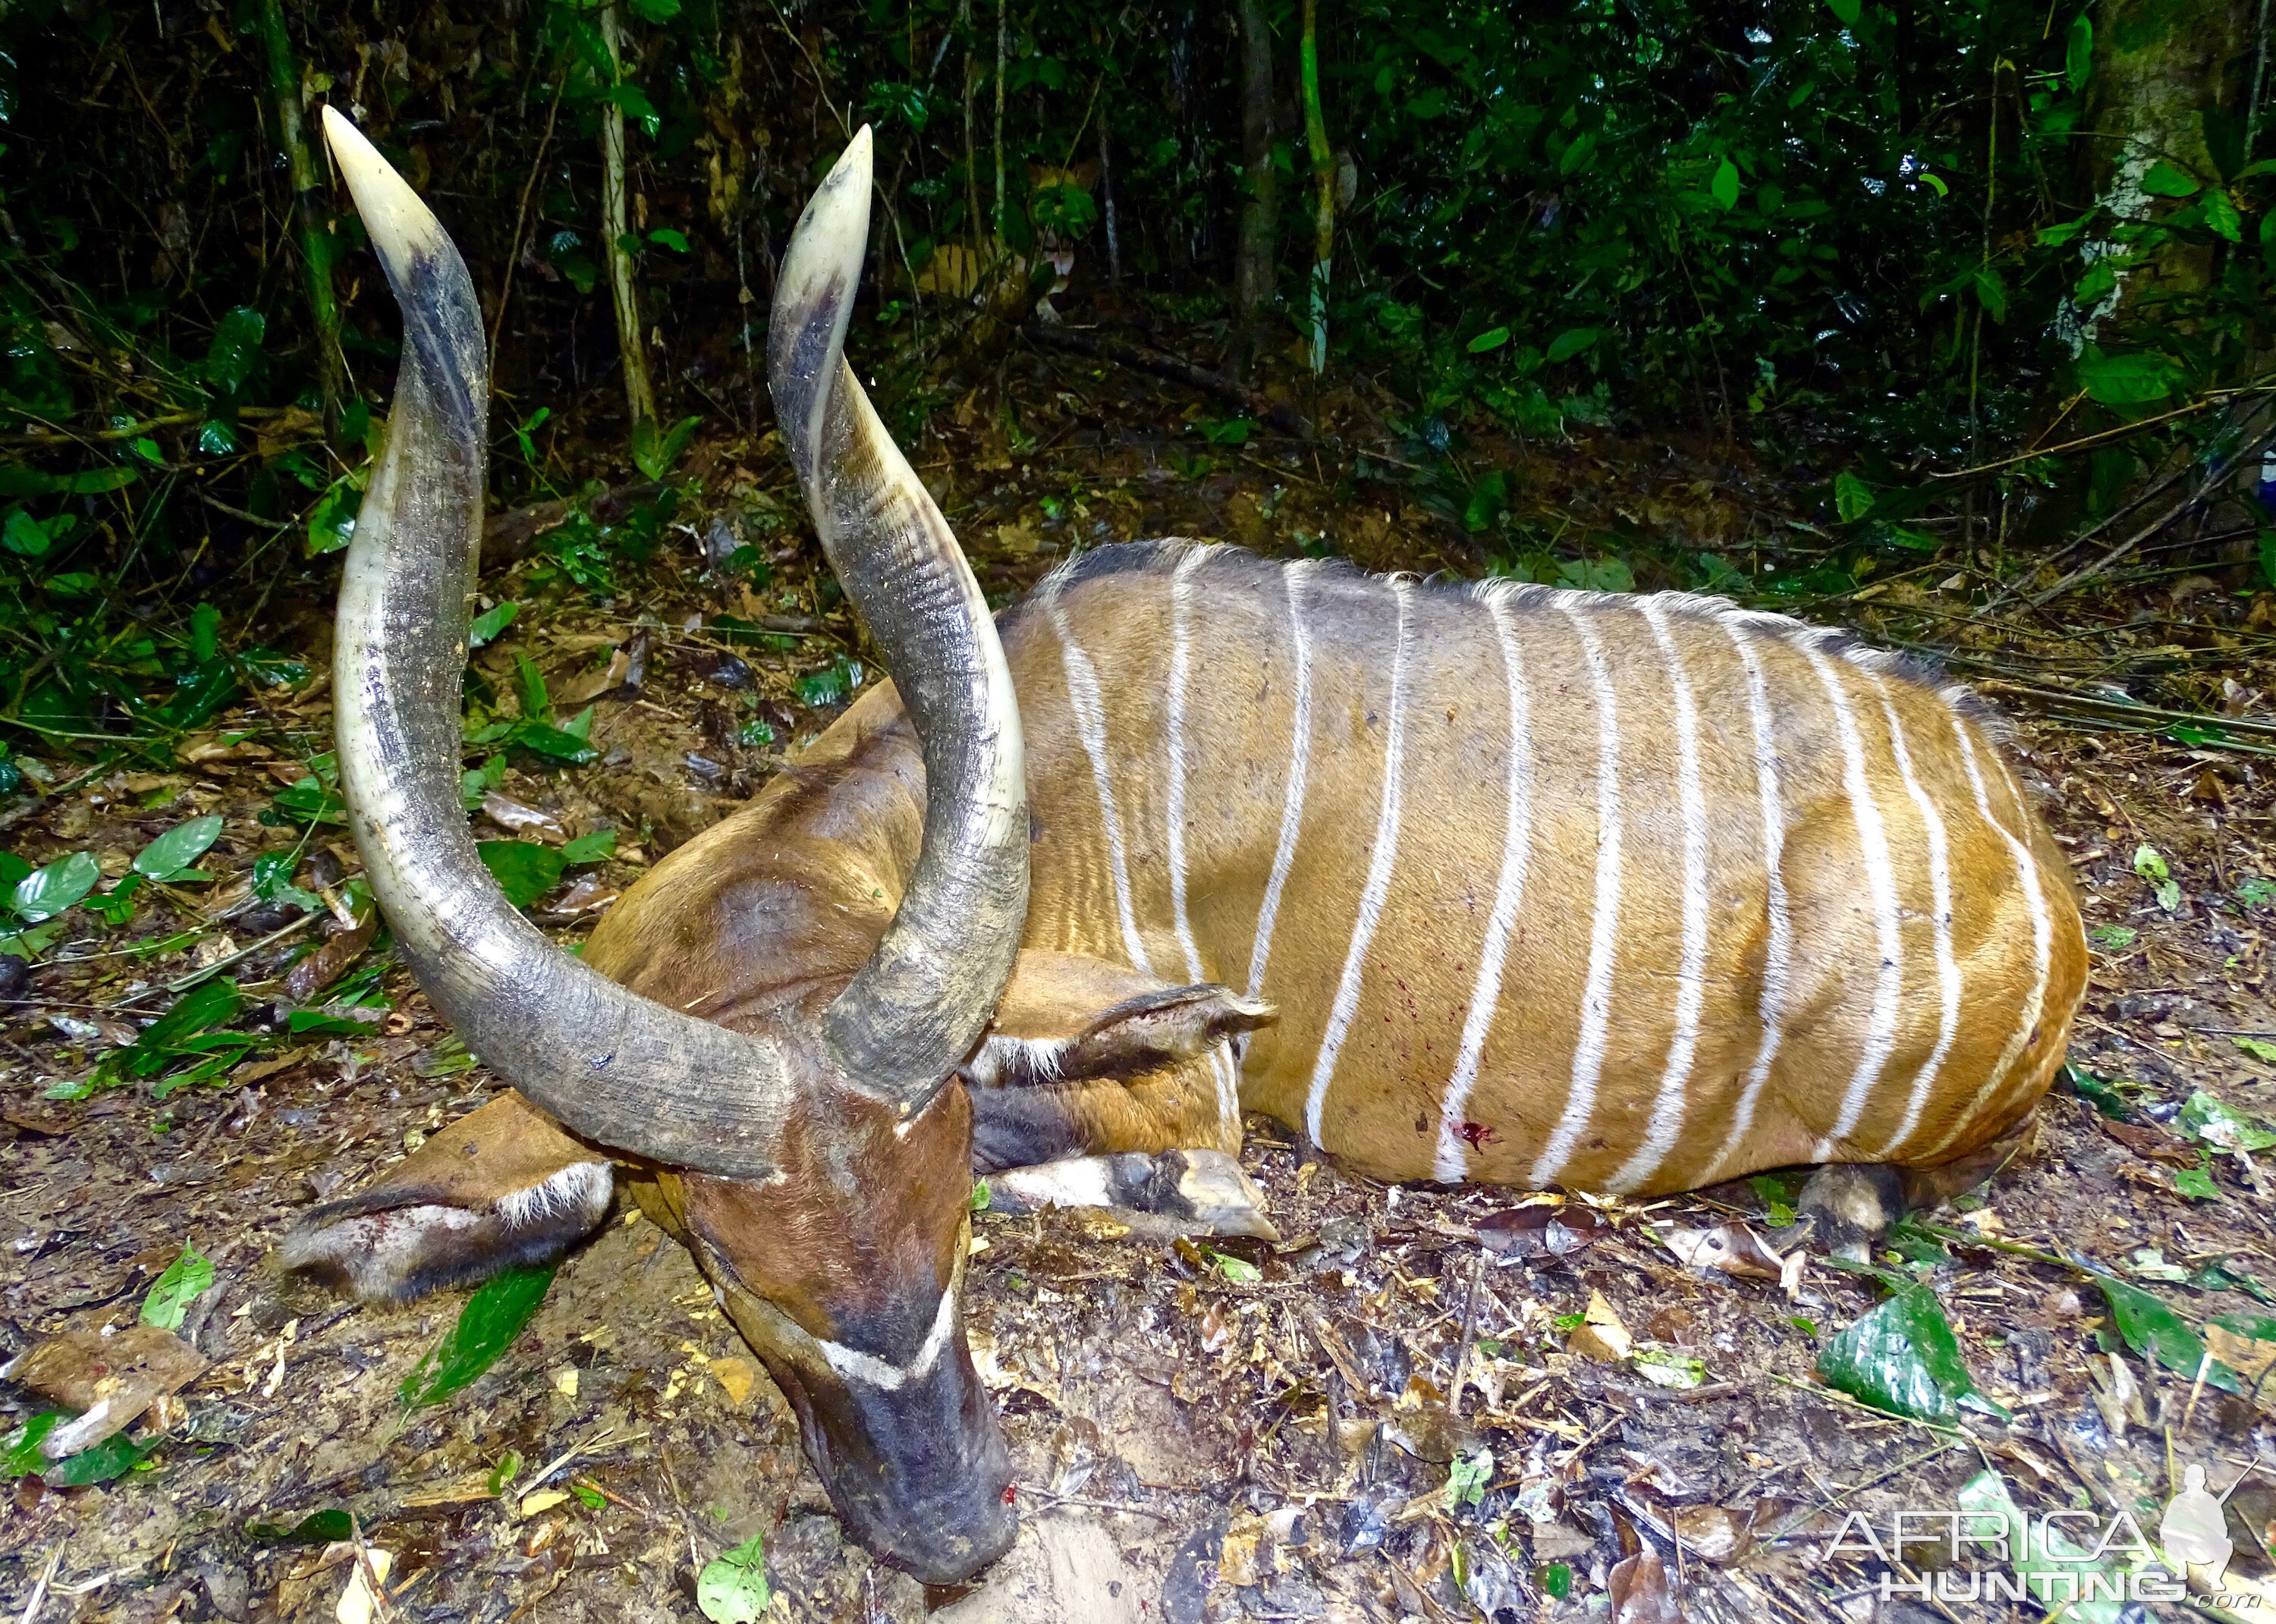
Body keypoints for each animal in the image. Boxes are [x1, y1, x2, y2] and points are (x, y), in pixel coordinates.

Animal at [280, 117, 2085, 1583]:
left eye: (947, 1212)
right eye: (731, 1266)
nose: (956, 1534)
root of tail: (2031, 841)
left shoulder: (1183, 1068)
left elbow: (1133, 1131)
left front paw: (1183, 1186)